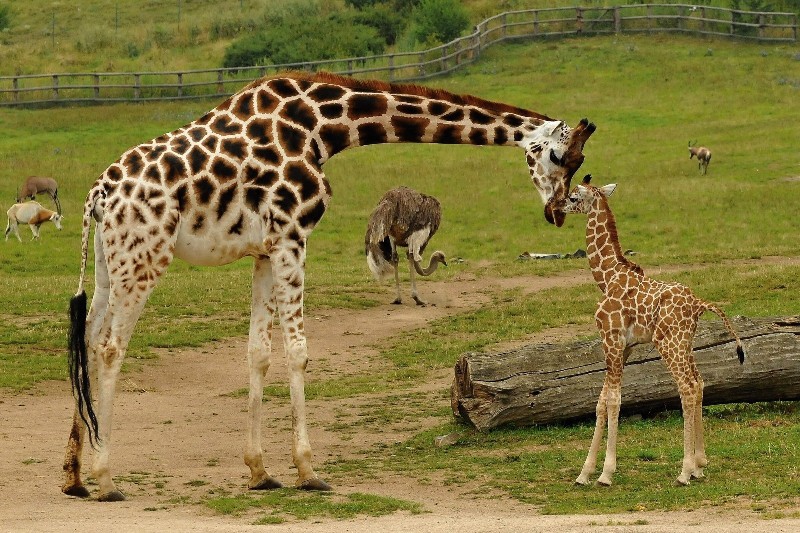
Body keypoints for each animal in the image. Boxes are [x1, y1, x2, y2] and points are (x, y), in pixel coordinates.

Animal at [62, 70, 592, 498]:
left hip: (111, 263)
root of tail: (98, 194)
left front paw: (260, 472)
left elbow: (258, 352)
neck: (322, 128)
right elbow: (297, 351)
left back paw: (74, 476)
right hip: (145, 257)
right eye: (557, 155)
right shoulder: (292, 237)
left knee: (87, 337)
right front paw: (308, 471)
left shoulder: (265, 250)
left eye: (579, 164)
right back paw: (107, 479)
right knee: (110, 346)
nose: (556, 212)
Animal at [564, 175, 744, 486]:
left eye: (575, 197)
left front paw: (606, 473)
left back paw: (685, 471)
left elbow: (614, 400)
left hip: (668, 343)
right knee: (699, 382)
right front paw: (584, 472)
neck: (607, 277)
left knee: (687, 387)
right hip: (684, 342)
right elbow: (601, 401)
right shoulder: (624, 347)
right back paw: (699, 465)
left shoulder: (610, 339)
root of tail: (699, 304)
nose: (560, 206)